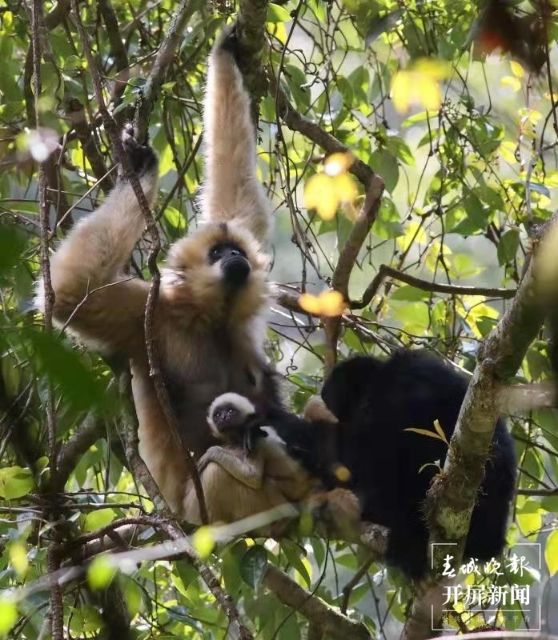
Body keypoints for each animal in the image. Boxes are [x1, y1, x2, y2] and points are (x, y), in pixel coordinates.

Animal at [37, 27, 281, 515]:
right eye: (218, 252)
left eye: (234, 249)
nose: (235, 258)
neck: (211, 318)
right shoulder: (148, 312)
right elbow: (72, 291)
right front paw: (139, 166)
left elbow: (238, 201)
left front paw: (226, 53)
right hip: (203, 506)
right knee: (227, 468)